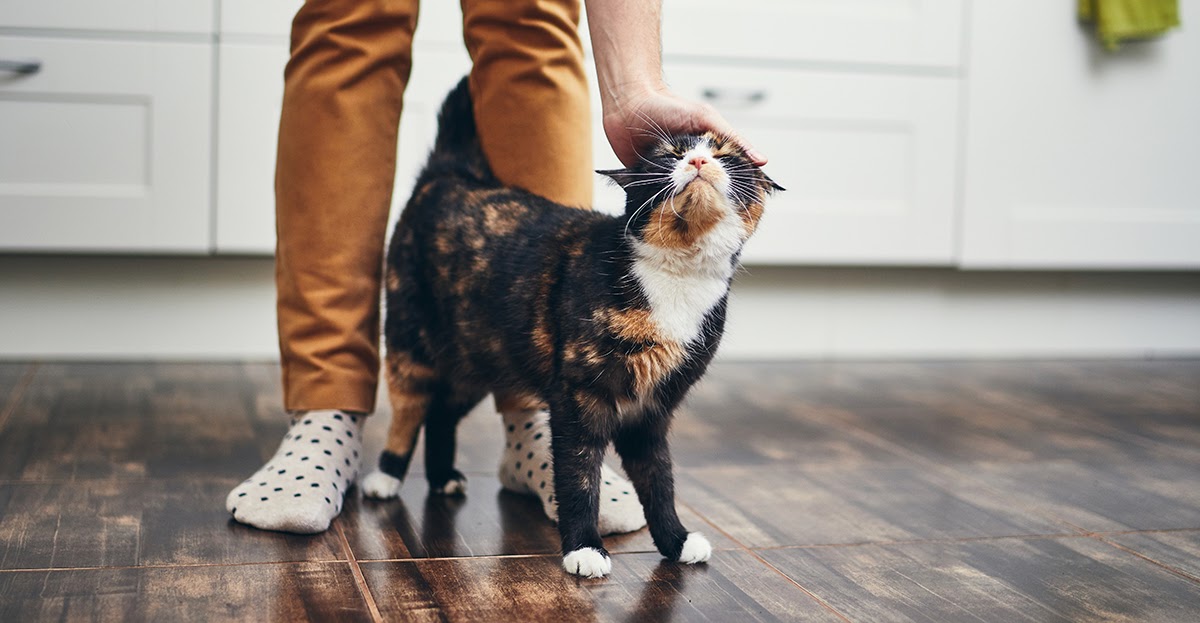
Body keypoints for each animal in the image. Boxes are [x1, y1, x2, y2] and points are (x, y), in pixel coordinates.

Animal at [360, 78, 782, 580]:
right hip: (412, 342)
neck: (677, 276)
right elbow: (579, 476)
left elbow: (659, 480)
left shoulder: (652, 410)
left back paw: (443, 477)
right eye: (670, 154)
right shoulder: (580, 397)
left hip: (479, 358)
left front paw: (676, 540)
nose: (698, 161)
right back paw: (385, 475)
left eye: (725, 154)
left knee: (442, 411)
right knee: (410, 409)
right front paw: (584, 547)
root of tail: (451, 175)